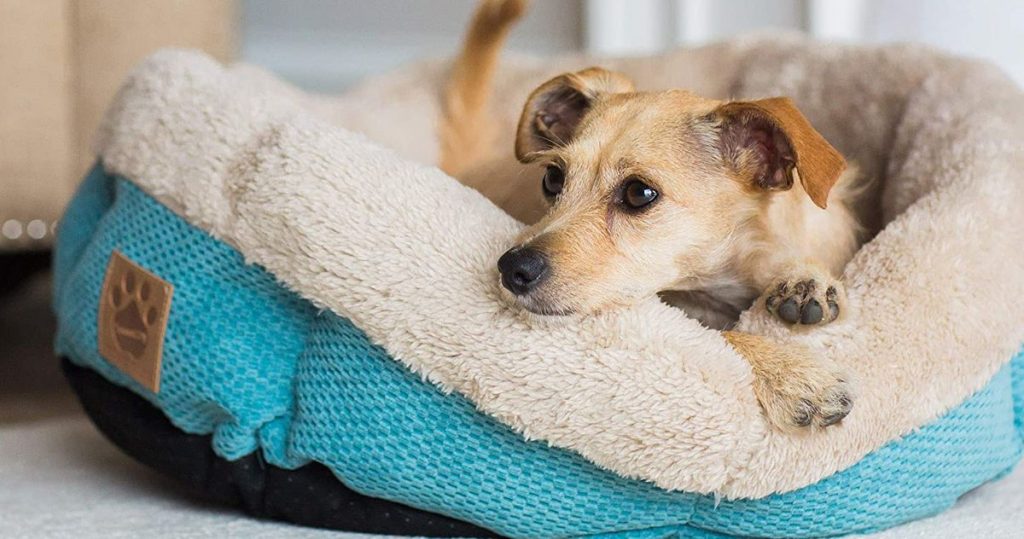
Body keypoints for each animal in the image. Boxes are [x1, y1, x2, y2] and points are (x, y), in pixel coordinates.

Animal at [440, 0, 864, 430]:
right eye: (552, 178)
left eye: (639, 193)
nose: (512, 268)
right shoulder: (677, 320)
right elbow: (717, 338)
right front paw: (793, 373)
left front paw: (805, 280)